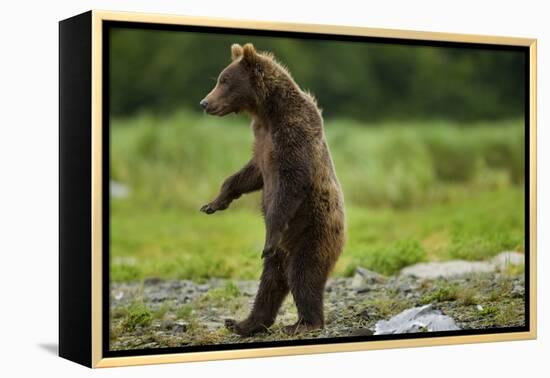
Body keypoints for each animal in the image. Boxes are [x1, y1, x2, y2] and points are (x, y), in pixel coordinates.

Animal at [199, 42, 344, 336]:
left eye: (224, 80)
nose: (204, 103)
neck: (266, 112)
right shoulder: (262, 143)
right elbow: (249, 174)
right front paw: (214, 203)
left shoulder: (293, 136)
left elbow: (290, 185)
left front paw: (269, 232)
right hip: (282, 253)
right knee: (270, 282)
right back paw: (243, 323)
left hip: (313, 231)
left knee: (303, 274)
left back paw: (303, 323)